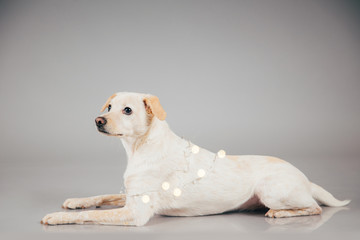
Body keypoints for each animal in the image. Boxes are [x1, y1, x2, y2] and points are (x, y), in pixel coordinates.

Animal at [40, 91, 350, 226]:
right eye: (109, 106)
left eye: (127, 110)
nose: (98, 120)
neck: (140, 147)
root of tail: (306, 179)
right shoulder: (130, 195)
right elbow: (101, 197)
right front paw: (75, 201)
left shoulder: (136, 212)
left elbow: (93, 215)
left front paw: (56, 217)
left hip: (271, 190)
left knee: (314, 208)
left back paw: (281, 213)